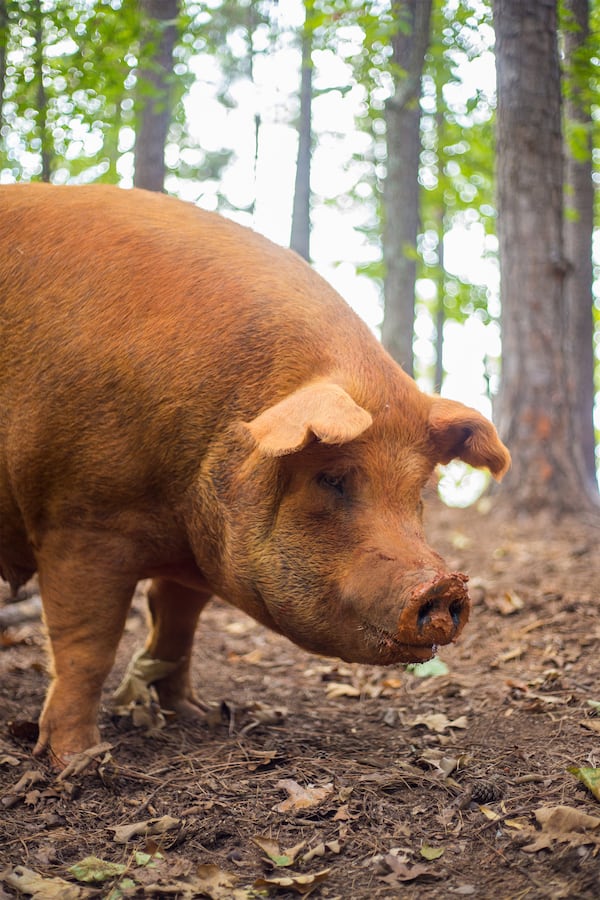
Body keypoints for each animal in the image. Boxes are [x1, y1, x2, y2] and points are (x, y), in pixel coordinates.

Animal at [0, 185, 510, 768]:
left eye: (418, 492)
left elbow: (177, 625)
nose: (445, 584)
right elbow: (88, 645)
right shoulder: (81, 520)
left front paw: (197, 715)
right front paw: (80, 760)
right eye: (332, 479)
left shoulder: (189, 556)